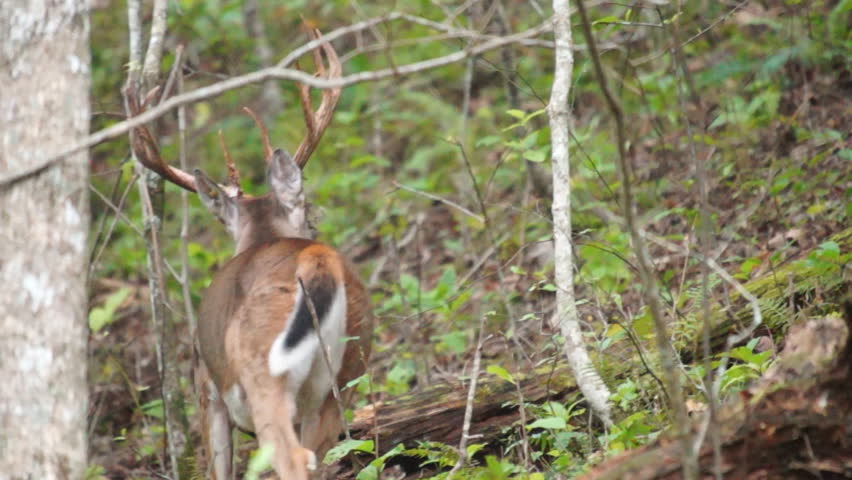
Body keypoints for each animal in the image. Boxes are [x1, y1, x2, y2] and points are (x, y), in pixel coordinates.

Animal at [125, 33, 372, 480]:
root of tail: (316, 259)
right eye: (309, 216)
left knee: (291, 457)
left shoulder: (207, 388)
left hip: (264, 366)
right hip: (346, 370)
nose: (316, 228)